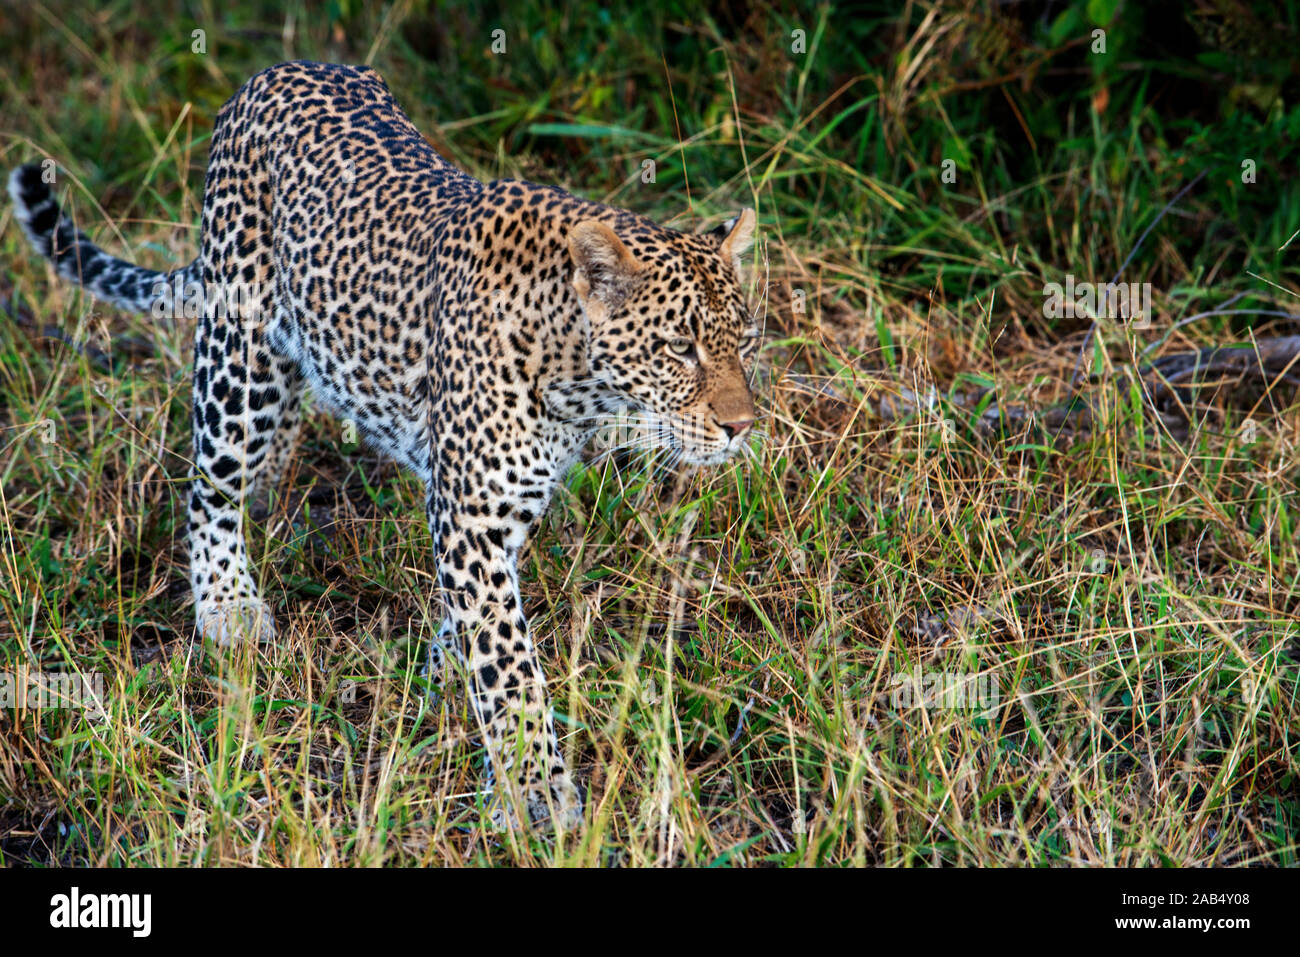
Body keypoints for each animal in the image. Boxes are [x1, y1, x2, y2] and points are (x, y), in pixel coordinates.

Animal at [7, 57, 759, 832]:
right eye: (680, 348)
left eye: (744, 341)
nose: (742, 426)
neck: (575, 377)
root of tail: (276, 71)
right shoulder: (473, 512)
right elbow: (509, 661)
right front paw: (535, 790)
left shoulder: (503, 505)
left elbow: (482, 625)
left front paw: (448, 668)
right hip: (239, 353)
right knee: (209, 483)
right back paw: (228, 603)